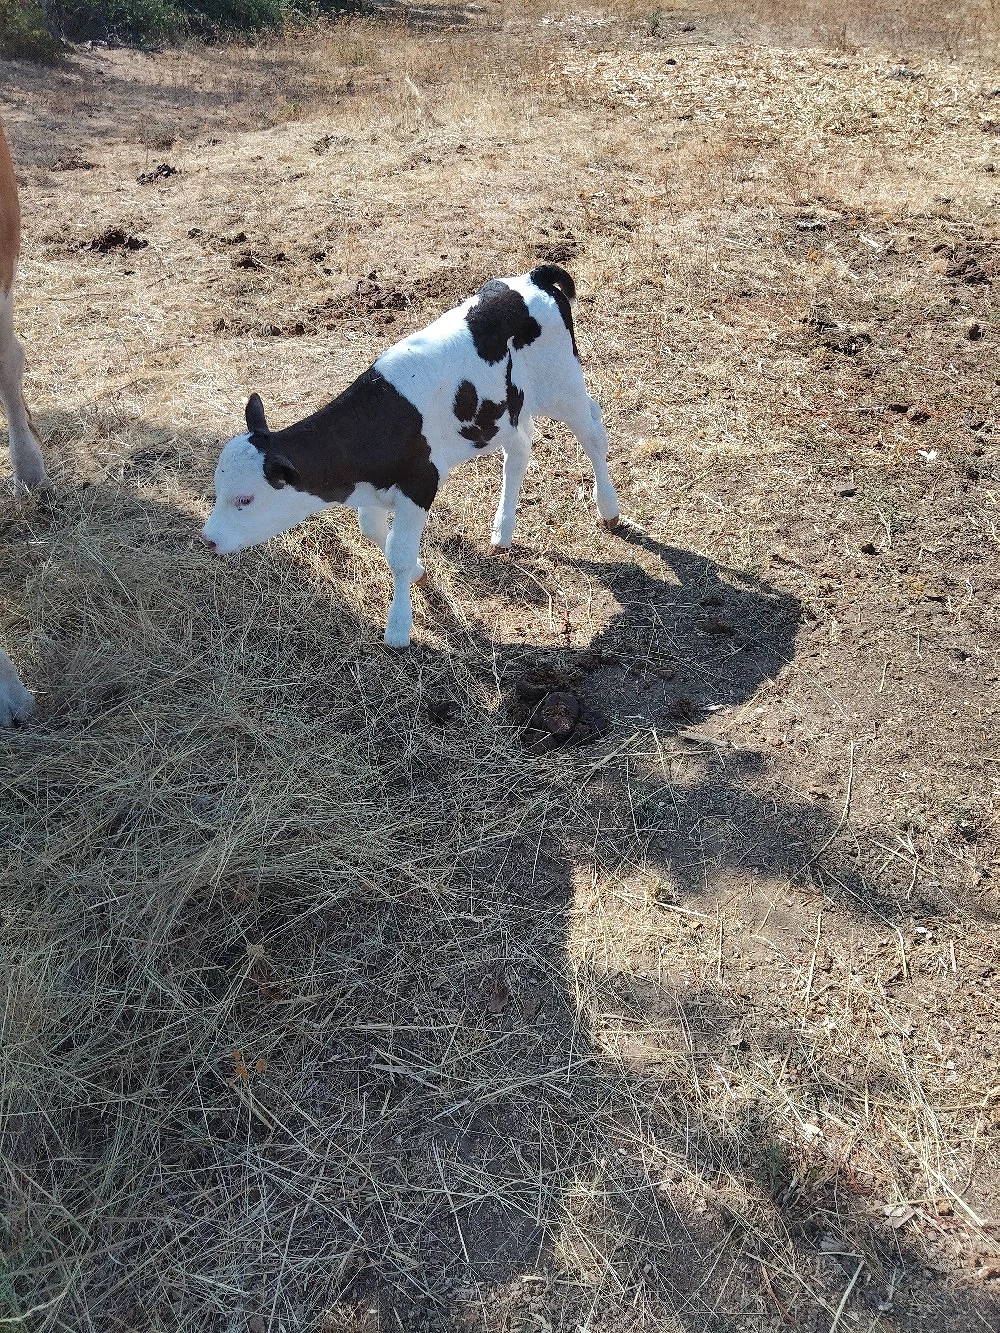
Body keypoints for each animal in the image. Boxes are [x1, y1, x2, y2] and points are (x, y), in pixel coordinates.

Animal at [201, 265, 620, 647]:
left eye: (244, 500)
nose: (208, 540)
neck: (375, 424)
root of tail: (533, 277)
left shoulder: (421, 482)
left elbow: (398, 553)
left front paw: (399, 628)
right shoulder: (374, 488)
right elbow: (375, 532)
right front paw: (419, 573)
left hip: (562, 384)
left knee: (593, 429)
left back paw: (609, 509)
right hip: (506, 411)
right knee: (520, 447)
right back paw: (503, 530)